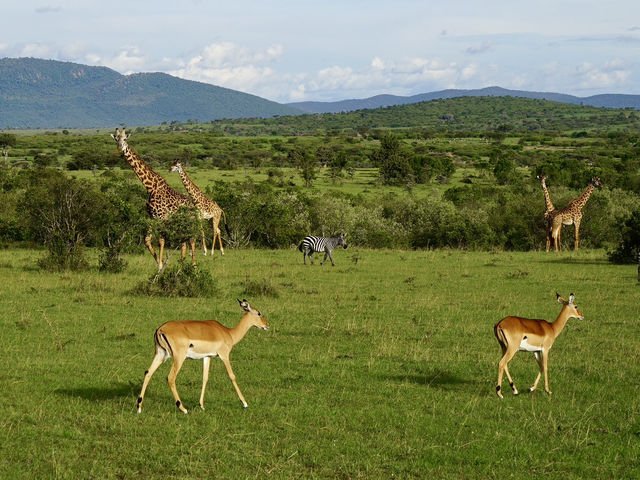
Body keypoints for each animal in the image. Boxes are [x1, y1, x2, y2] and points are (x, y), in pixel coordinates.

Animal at [110, 128, 195, 270]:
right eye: (116, 138)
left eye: (125, 139)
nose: (120, 148)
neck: (150, 187)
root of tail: (194, 206)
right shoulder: (151, 216)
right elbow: (147, 240)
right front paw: (159, 263)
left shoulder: (162, 217)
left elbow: (161, 240)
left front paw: (160, 266)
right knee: (184, 242)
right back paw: (182, 265)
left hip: (188, 222)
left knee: (191, 239)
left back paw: (193, 266)